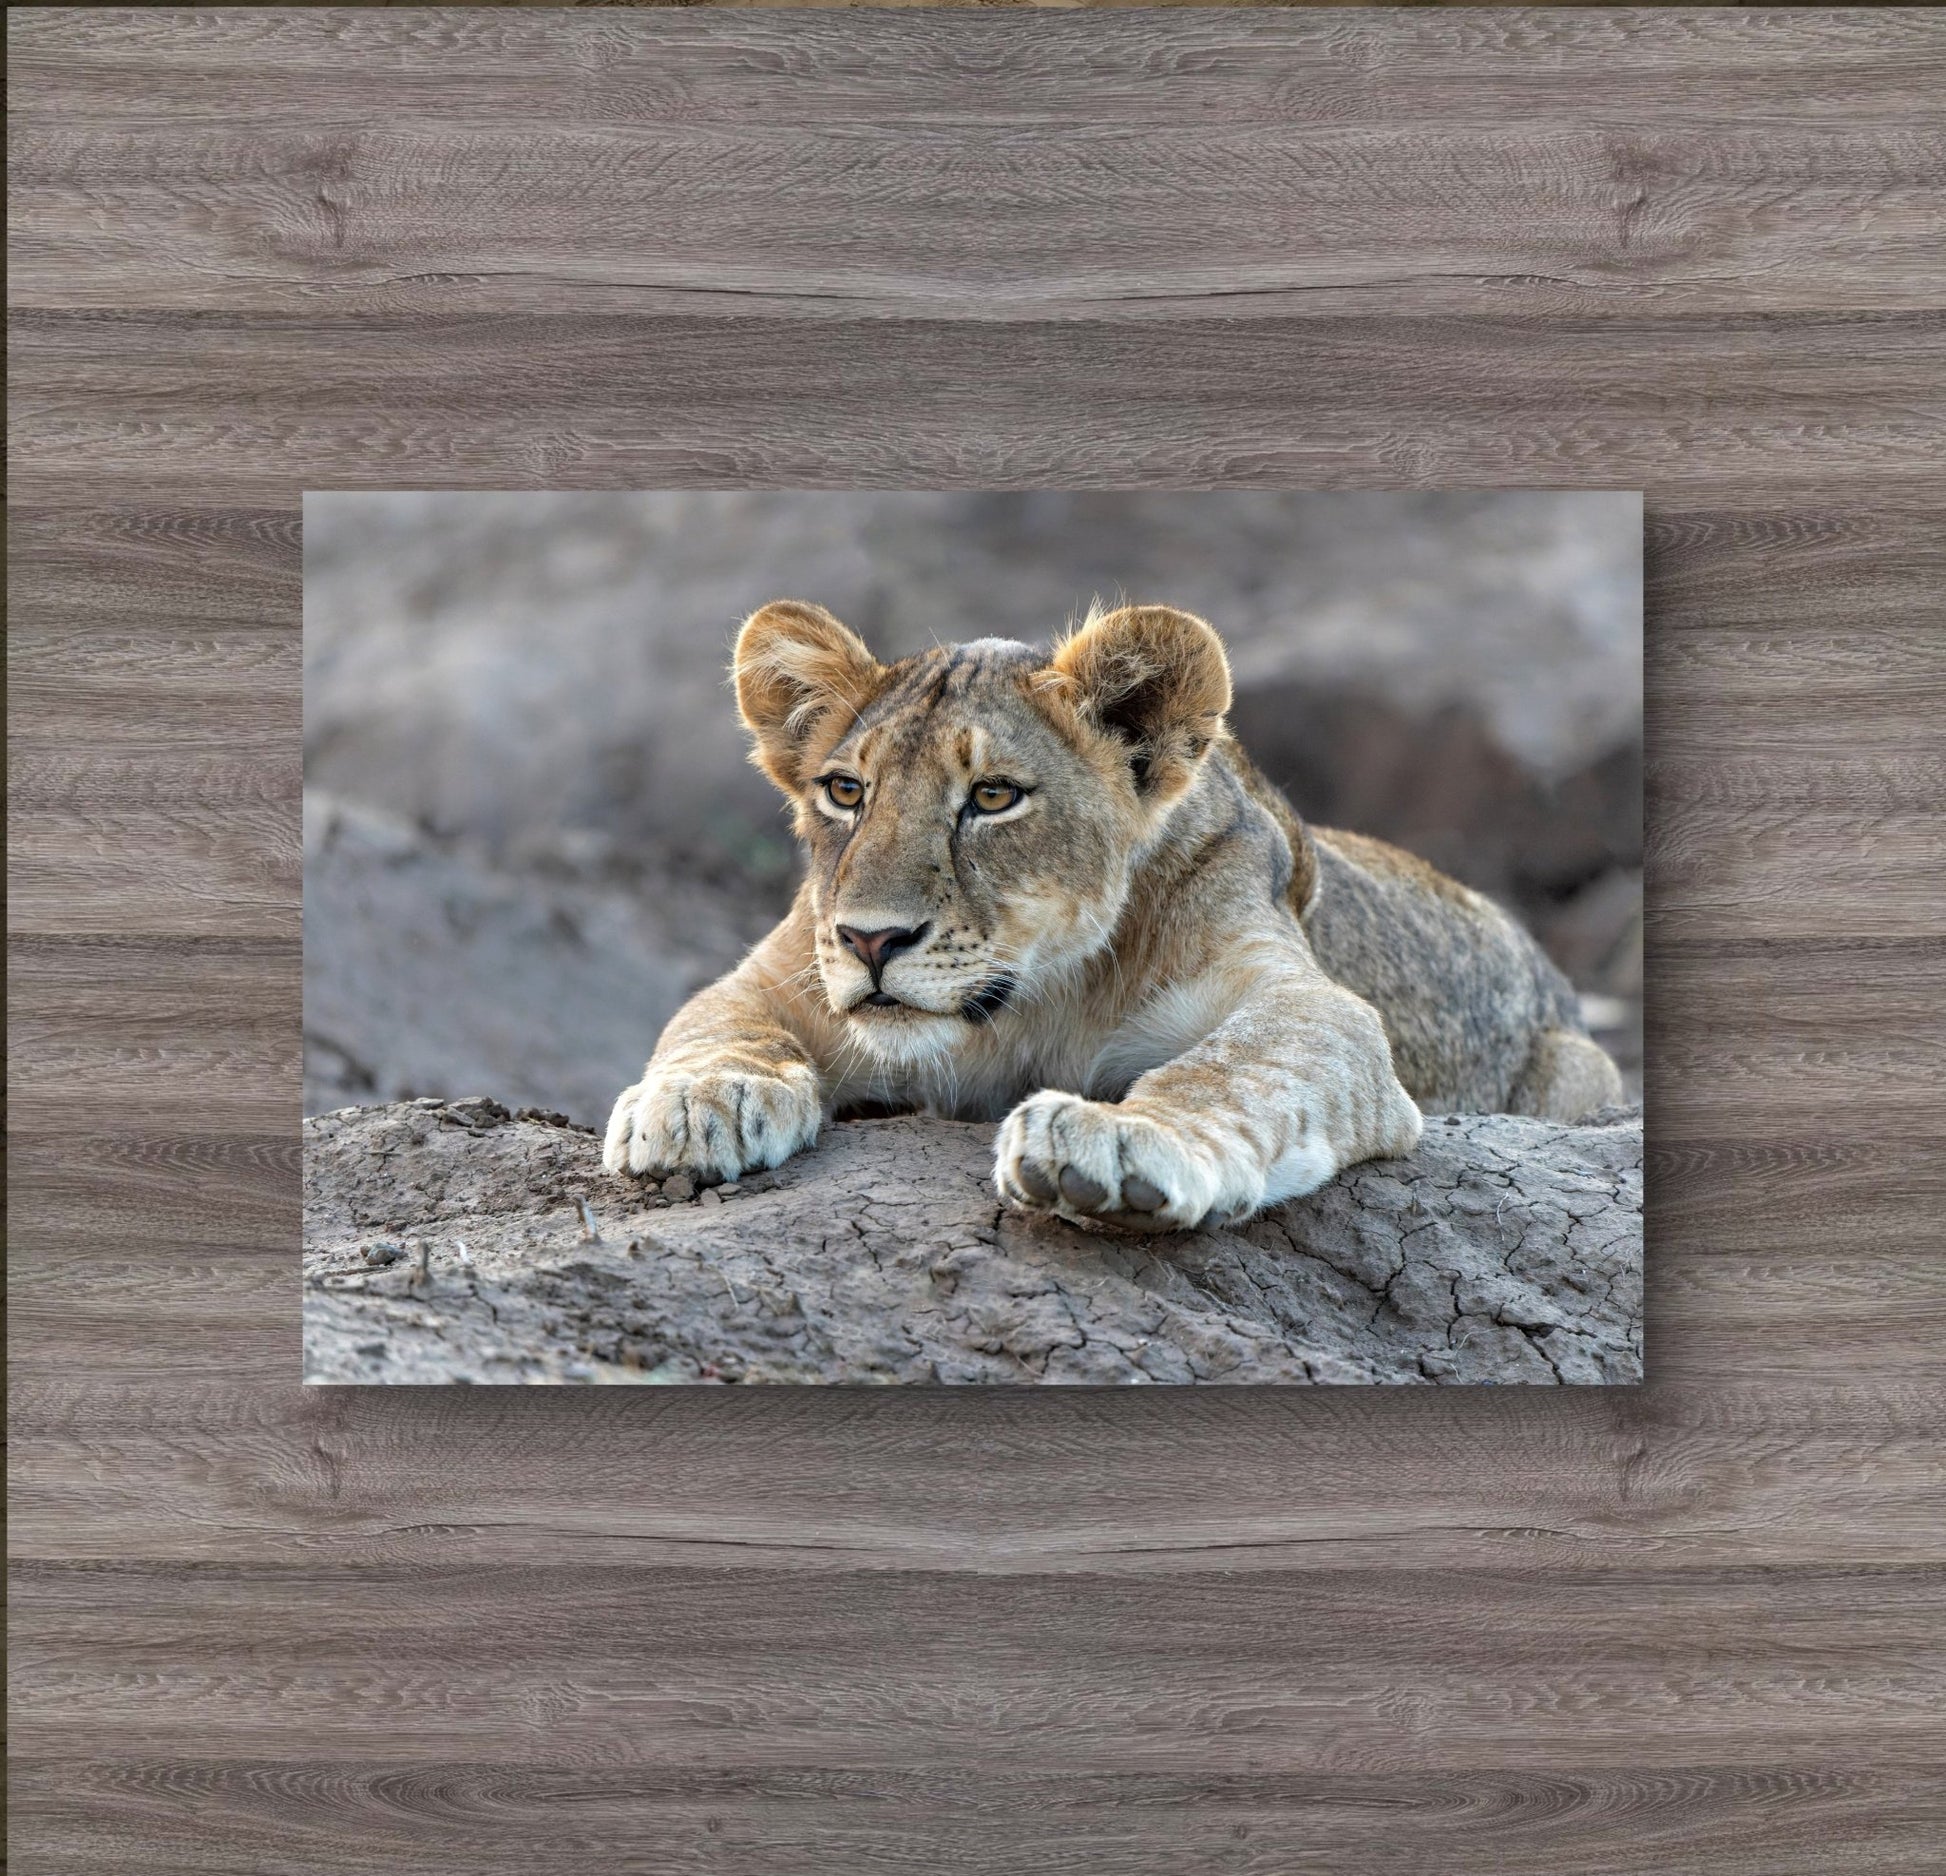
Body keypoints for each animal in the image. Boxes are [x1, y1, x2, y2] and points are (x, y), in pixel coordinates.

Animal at [604, 599, 1625, 1232]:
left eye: (994, 796)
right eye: (846, 791)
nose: (870, 940)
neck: (1030, 1005)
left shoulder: (1312, 1003)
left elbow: (1231, 1067)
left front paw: (1124, 1138)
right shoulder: (780, 972)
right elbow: (712, 1023)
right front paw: (700, 1103)